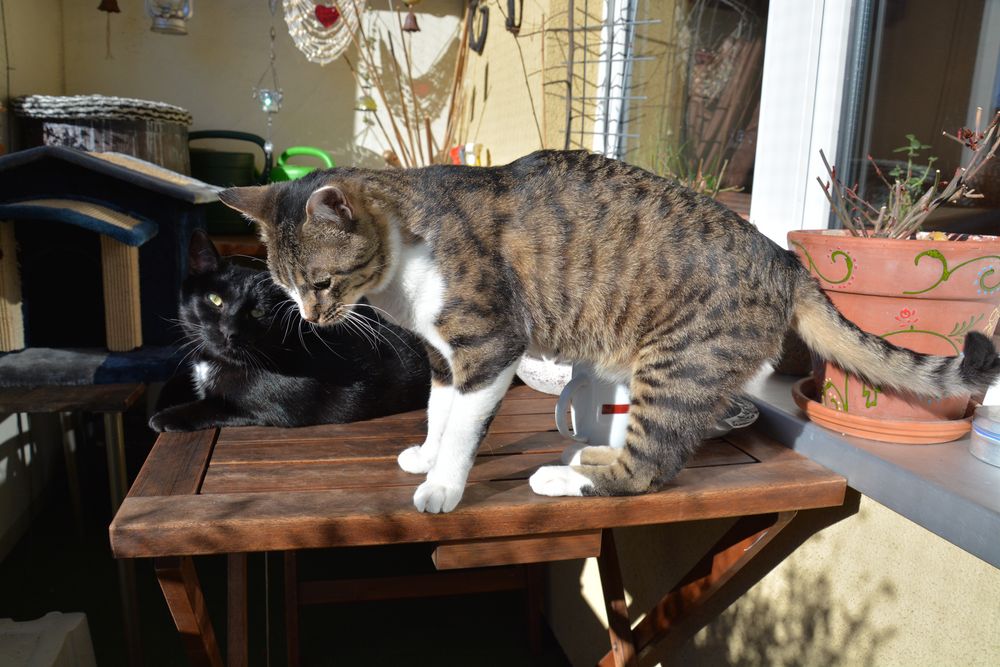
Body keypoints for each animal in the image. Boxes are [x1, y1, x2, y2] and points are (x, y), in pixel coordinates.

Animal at [150, 231, 432, 434]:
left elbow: (215, 405)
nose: (229, 331)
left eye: (258, 313)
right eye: (214, 300)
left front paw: (164, 417)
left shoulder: (273, 406)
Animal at [219, 151, 1000, 516]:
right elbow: (440, 413)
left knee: (648, 468)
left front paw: (442, 486)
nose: (314, 317)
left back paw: (564, 475)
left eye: (321, 283)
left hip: (677, 366)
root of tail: (785, 260)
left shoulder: (488, 345)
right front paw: (426, 455)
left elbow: (464, 427)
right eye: (287, 289)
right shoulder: (444, 357)